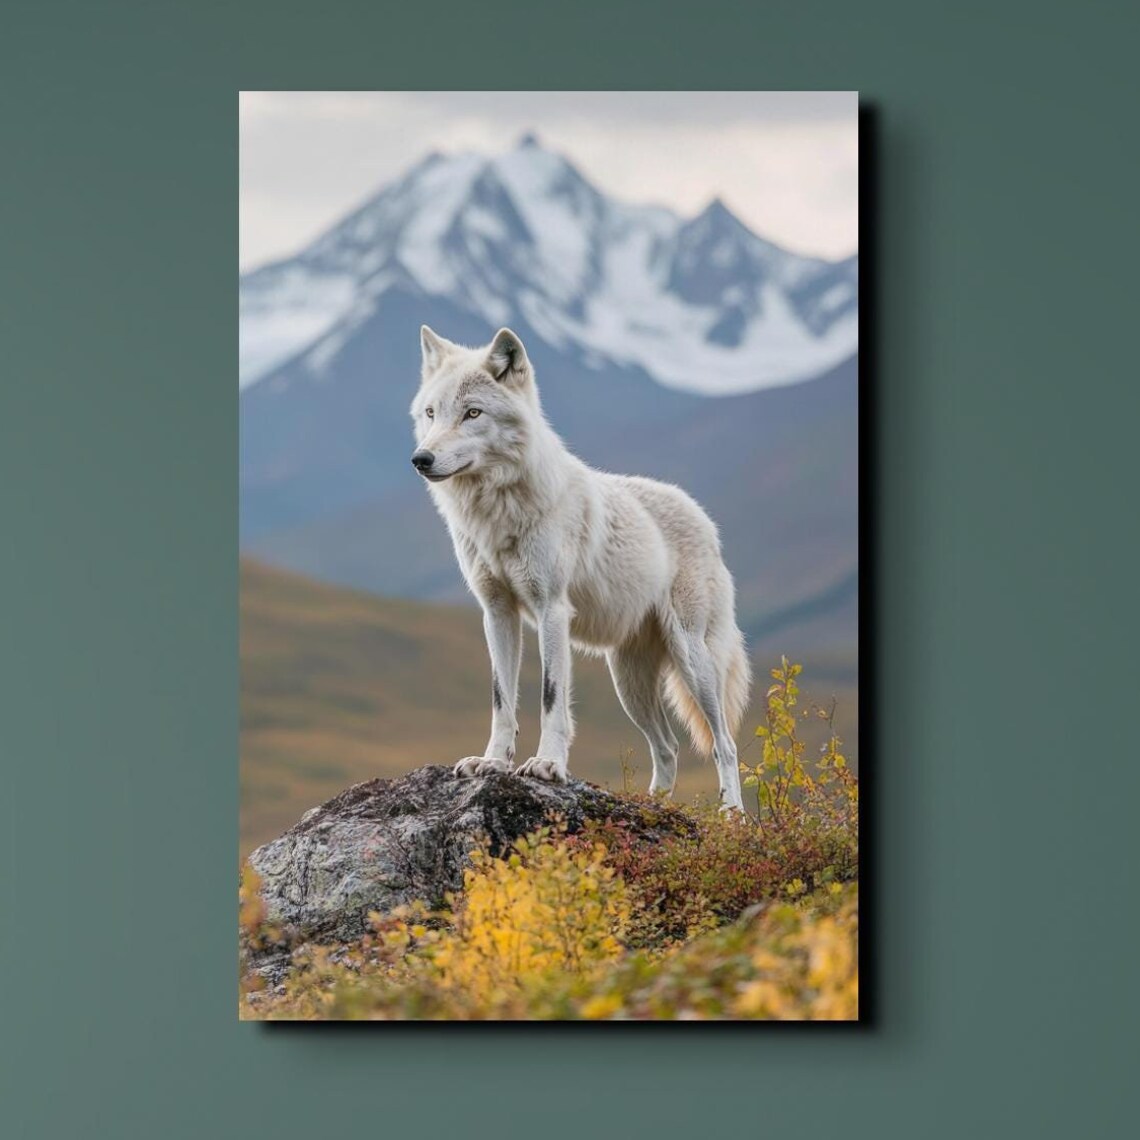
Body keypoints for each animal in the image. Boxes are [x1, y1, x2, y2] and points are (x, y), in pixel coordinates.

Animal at [410, 326, 751, 810]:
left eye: (472, 413)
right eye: (431, 413)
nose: (421, 459)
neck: (497, 511)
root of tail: (704, 518)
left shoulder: (551, 610)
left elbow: (551, 698)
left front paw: (547, 765)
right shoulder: (497, 613)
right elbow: (501, 701)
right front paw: (492, 762)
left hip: (692, 660)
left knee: (725, 742)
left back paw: (731, 813)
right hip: (627, 684)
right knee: (667, 746)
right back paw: (652, 804)